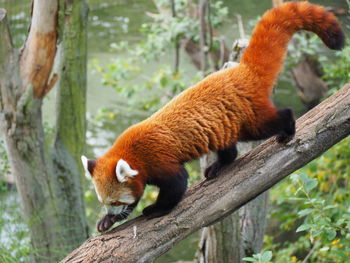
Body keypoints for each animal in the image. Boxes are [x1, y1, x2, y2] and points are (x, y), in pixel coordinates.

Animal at [81, 1, 344, 233]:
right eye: (105, 203)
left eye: (115, 202)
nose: (112, 212)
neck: (131, 153)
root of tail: (243, 71)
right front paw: (107, 221)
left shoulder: (157, 159)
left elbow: (177, 184)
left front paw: (156, 209)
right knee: (228, 147)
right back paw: (219, 165)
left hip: (250, 119)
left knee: (273, 120)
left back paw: (287, 130)